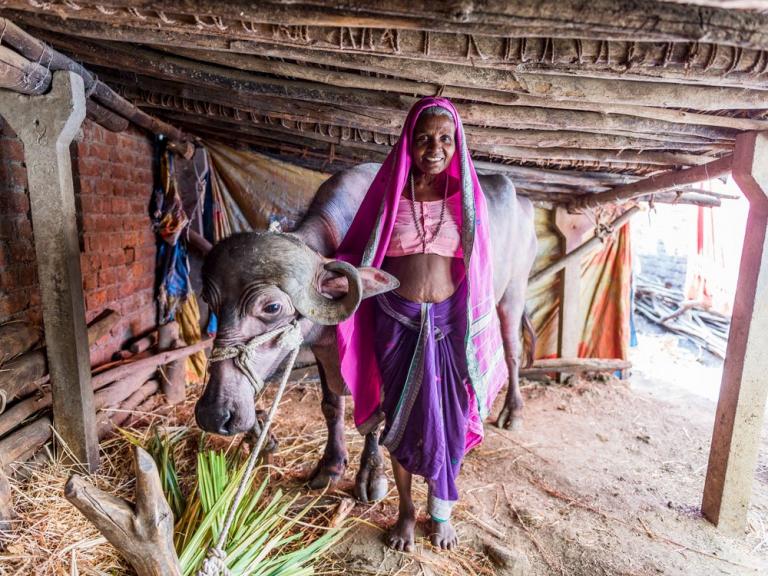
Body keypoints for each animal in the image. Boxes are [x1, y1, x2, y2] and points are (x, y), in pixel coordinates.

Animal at [195, 161, 536, 500]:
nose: (214, 413)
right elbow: (332, 406)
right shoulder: (324, 348)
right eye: (209, 302)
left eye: (272, 307)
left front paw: (372, 474)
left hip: (513, 293)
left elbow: (377, 413)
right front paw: (331, 465)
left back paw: (513, 412)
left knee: (511, 352)